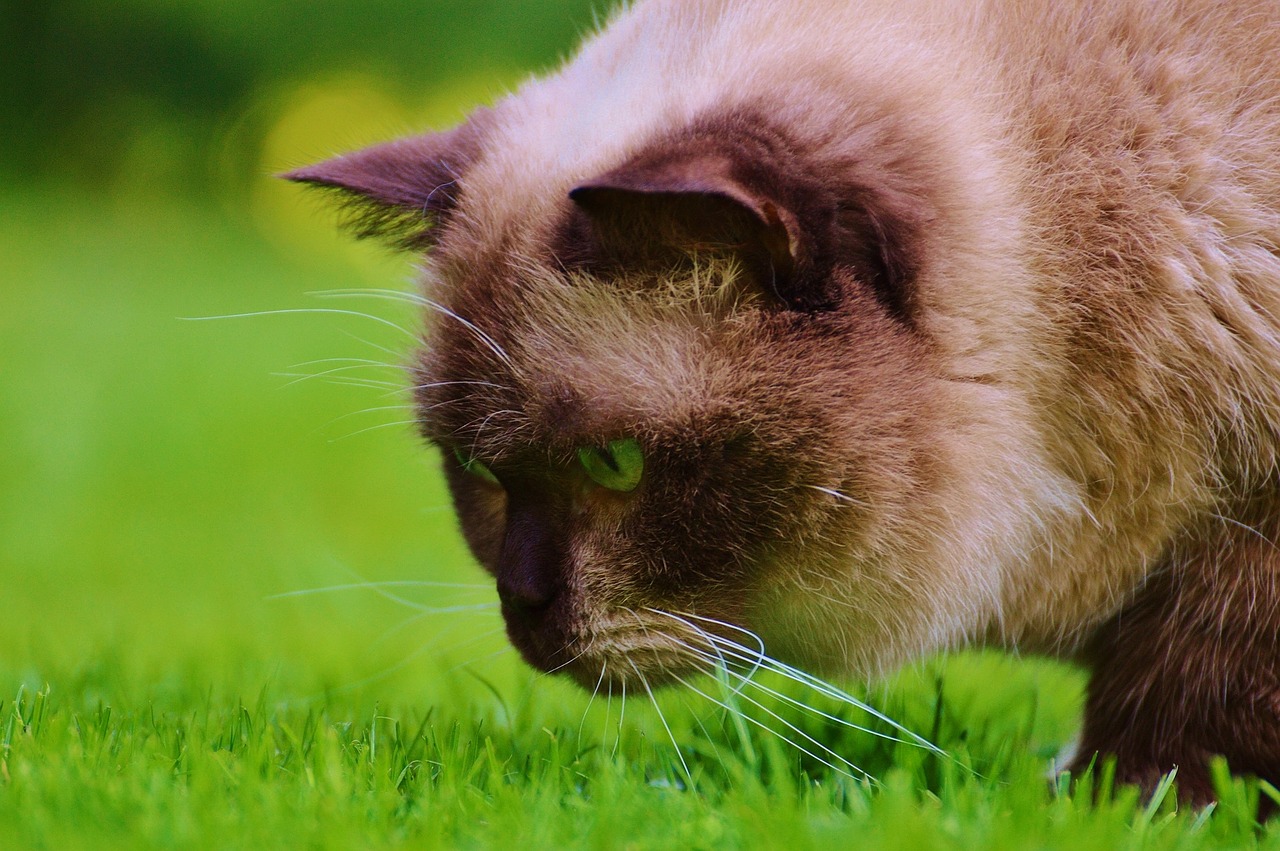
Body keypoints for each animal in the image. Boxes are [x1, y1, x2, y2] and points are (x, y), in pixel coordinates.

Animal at [290, 0, 1280, 803]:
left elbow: (1179, 726)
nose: (521, 604)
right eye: (478, 469)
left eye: (617, 465)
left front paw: (1110, 807)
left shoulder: (1245, 535)